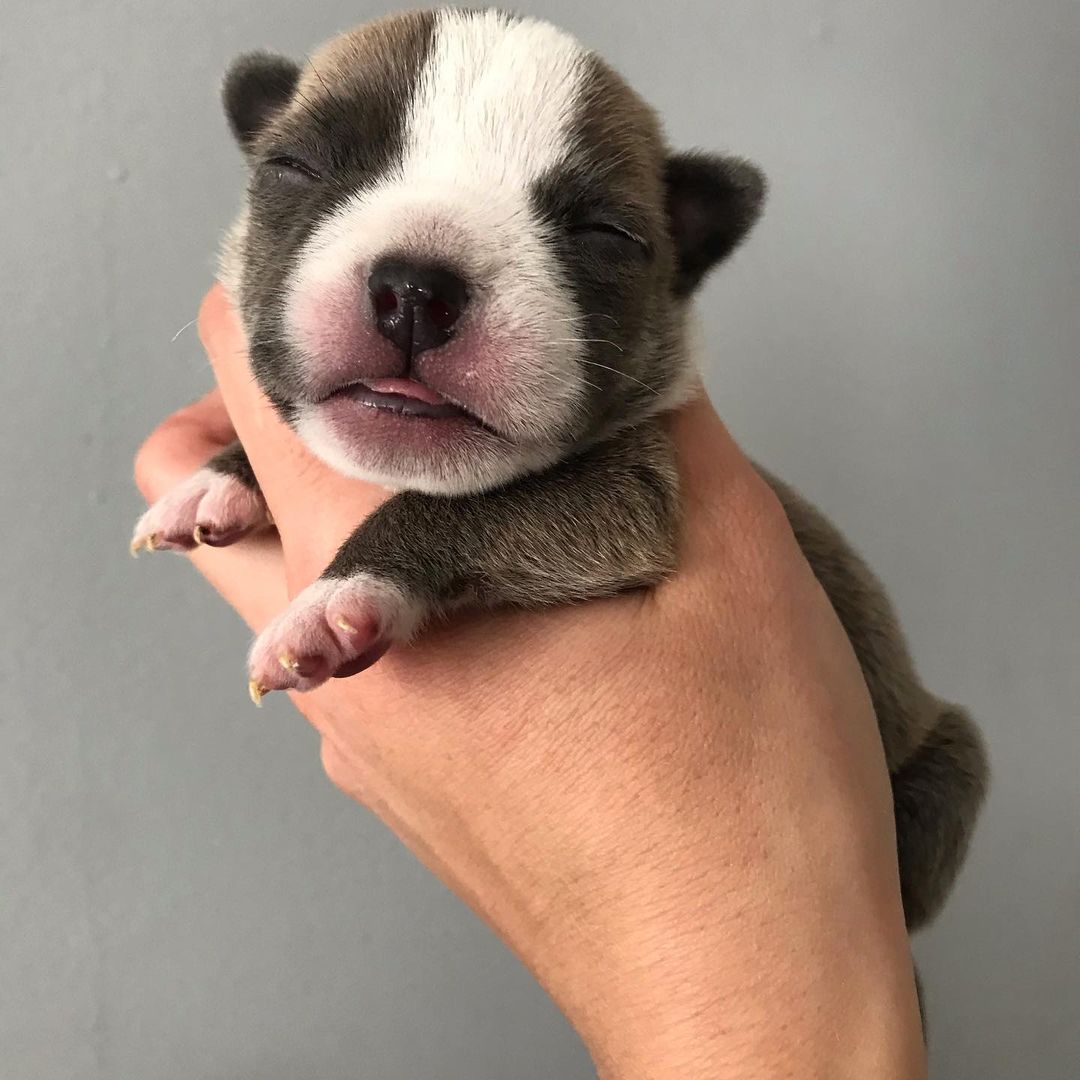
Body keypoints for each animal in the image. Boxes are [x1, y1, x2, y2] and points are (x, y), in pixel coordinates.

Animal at [130, 6, 984, 937]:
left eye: (603, 236)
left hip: (949, 764)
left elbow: (466, 508)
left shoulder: (624, 496)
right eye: (294, 167)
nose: (415, 288)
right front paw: (220, 479)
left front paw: (338, 599)